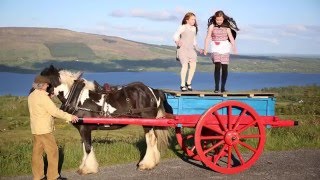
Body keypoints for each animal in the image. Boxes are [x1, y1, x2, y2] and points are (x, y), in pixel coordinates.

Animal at [37, 65, 170, 175]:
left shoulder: (85, 128)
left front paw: (88, 169)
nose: (34, 92)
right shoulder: (82, 130)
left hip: (147, 121)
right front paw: (83, 167)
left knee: (150, 140)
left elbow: (88, 148)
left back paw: (146, 164)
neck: (78, 99)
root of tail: (153, 91)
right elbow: (85, 147)